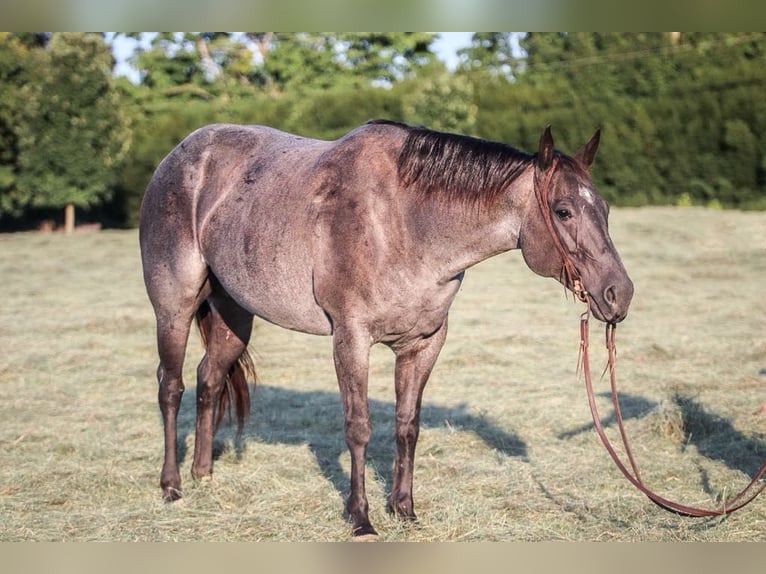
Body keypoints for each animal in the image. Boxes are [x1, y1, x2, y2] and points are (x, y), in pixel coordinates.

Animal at [139, 119, 634, 537]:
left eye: (606, 209)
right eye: (563, 211)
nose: (619, 294)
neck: (403, 222)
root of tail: (179, 157)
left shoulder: (423, 344)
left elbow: (407, 425)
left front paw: (404, 509)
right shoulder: (351, 339)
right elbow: (358, 427)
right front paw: (361, 519)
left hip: (234, 317)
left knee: (209, 379)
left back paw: (204, 473)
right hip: (174, 308)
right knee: (171, 386)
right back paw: (171, 485)